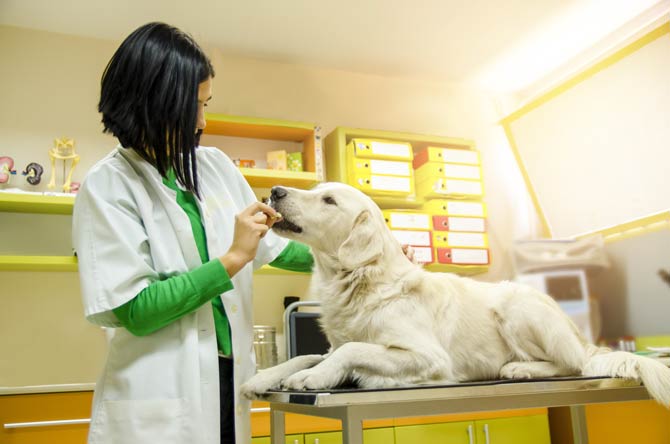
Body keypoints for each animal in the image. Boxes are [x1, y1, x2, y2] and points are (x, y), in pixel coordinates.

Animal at [242, 180, 670, 406]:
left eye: (328, 200)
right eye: (316, 190)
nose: (274, 191)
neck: (360, 280)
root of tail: (584, 340)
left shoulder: (427, 355)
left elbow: (352, 350)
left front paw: (315, 378)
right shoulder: (334, 343)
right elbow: (310, 354)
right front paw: (263, 379)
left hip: (515, 307)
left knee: (573, 365)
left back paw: (519, 368)